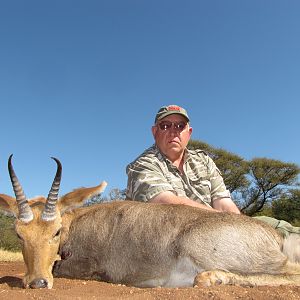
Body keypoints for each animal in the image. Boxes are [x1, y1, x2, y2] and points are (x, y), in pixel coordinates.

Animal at [0, 155, 300, 288]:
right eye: (19, 233)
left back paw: (212, 277)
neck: (79, 221)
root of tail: (273, 235)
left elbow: (60, 268)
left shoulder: (84, 265)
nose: (37, 283)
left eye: (56, 231)